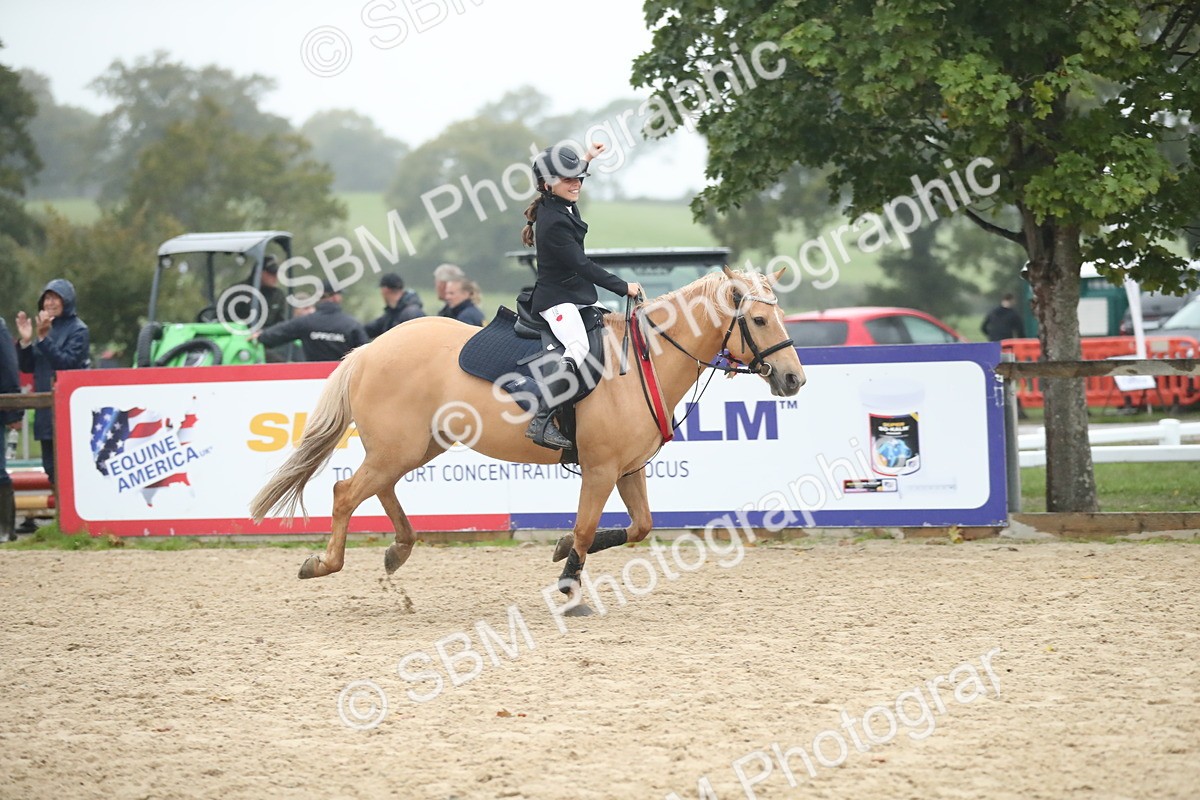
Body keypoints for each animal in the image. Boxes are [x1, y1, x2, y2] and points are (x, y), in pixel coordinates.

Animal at [249, 266, 806, 602]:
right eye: (759, 319)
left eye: (780, 314)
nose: (793, 379)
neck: (643, 358)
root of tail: (370, 348)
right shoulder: (601, 469)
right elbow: (584, 526)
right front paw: (567, 575)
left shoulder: (628, 469)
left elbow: (640, 527)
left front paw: (562, 553)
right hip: (398, 448)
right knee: (347, 492)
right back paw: (324, 563)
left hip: (413, 447)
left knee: (378, 488)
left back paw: (398, 549)